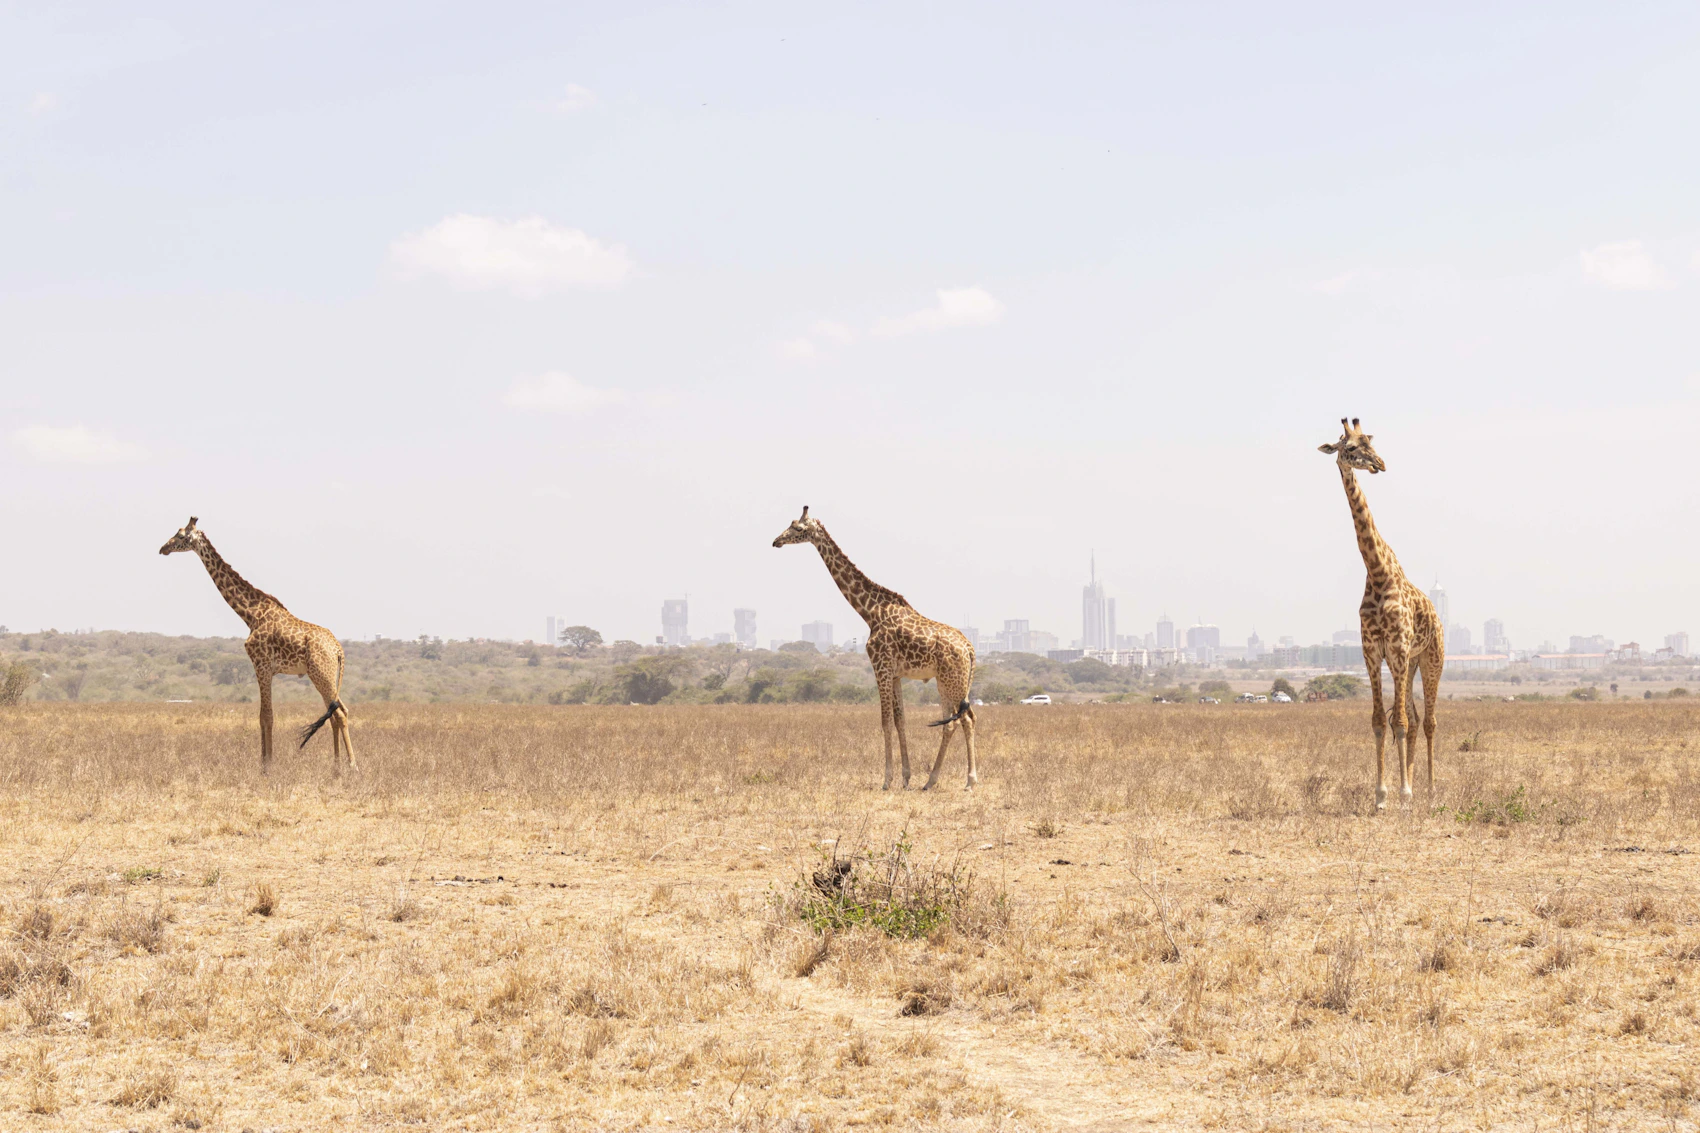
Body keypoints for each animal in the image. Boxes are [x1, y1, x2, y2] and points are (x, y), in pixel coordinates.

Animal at [159, 517, 354, 773]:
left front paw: (267, 766)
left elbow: (267, 716)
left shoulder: (261, 665)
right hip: (326, 675)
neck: (251, 614)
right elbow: (262, 716)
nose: (163, 548)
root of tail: (338, 650)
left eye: (181, 536)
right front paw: (263, 763)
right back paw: (336, 767)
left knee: (339, 713)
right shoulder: (265, 669)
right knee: (335, 713)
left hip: (321, 673)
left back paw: (352, 766)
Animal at [772, 507, 979, 790]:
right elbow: (900, 721)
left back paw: (964, 781)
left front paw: (887, 780)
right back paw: (934, 781)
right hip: (949, 681)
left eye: (798, 528)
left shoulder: (880, 667)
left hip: (950, 680)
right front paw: (905, 777)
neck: (869, 612)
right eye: (790, 524)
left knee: (962, 720)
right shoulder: (895, 674)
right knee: (958, 721)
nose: (776, 541)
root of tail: (970, 649)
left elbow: (885, 722)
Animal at [1319, 420, 1443, 811]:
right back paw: (1416, 785)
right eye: (1350, 448)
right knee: (1417, 719)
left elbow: (1398, 722)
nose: (1381, 464)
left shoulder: (1399, 649)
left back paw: (1429, 791)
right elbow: (1379, 721)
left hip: (1431, 659)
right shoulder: (1373, 652)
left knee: (1429, 721)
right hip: (1410, 662)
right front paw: (1382, 795)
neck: (1376, 572)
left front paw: (1403, 794)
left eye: (1370, 442)